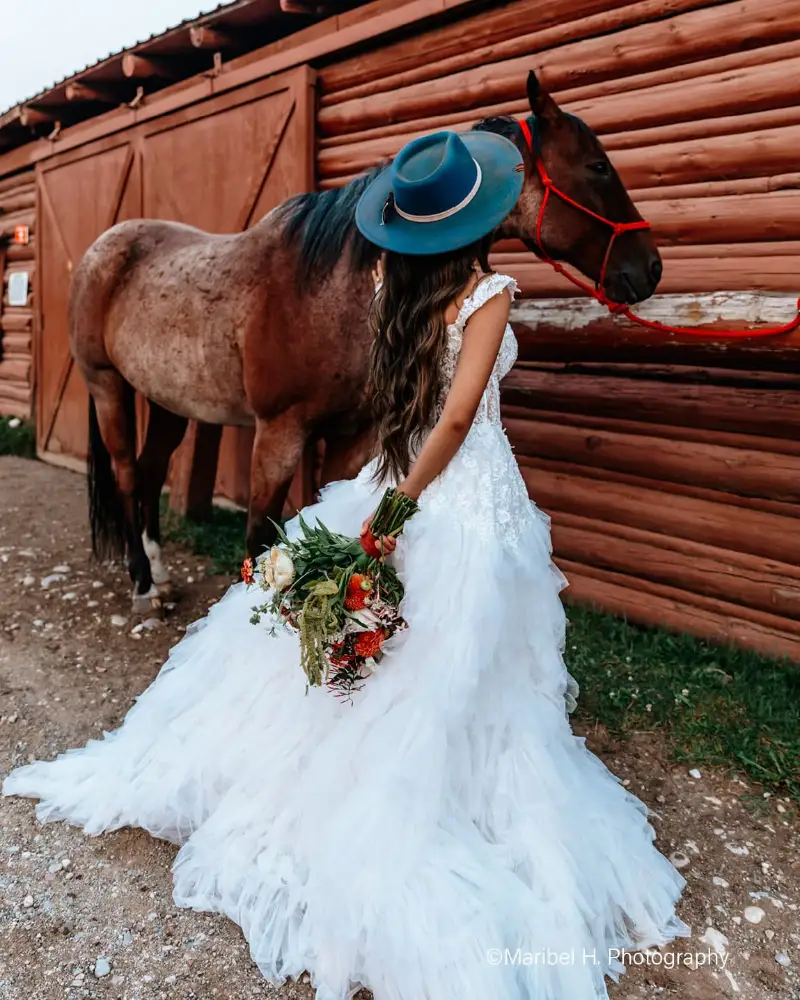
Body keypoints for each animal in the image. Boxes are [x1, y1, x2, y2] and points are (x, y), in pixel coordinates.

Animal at [70, 70, 656, 612]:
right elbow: (260, 532)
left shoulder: (352, 435)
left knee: (149, 473)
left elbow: (322, 510)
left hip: (169, 400)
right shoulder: (278, 433)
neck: (331, 294)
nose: (649, 267)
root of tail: (102, 248)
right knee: (127, 475)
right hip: (106, 387)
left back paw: (161, 575)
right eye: (597, 166)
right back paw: (143, 586)